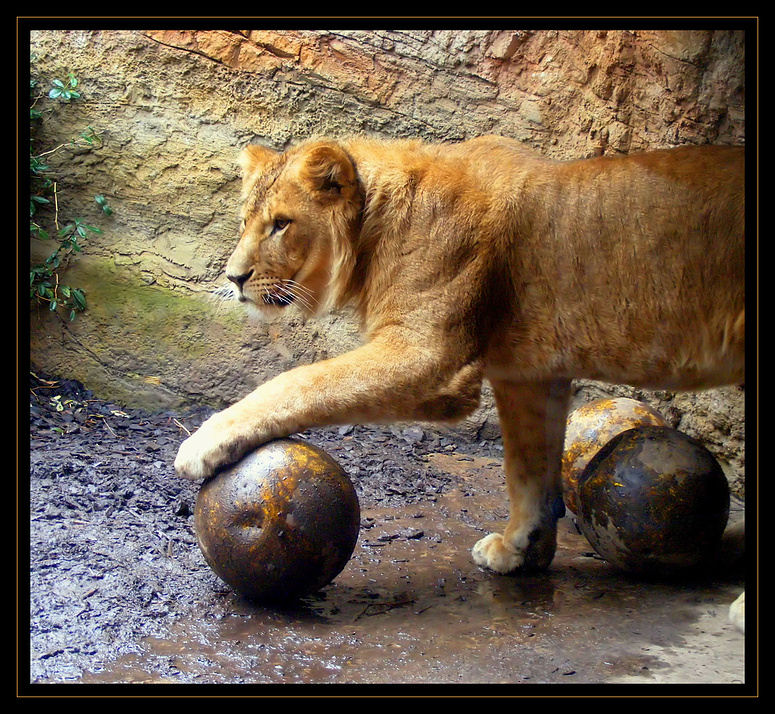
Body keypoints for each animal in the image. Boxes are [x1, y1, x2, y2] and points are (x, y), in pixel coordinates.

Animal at [176, 132, 744, 628]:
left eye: (280, 224)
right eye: (245, 221)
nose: (233, 278)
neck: (374, 229)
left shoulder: (429, 357)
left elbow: (302, 381)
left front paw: (206, 440)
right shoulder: (529, 374)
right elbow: (527, 467)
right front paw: (519, 550)